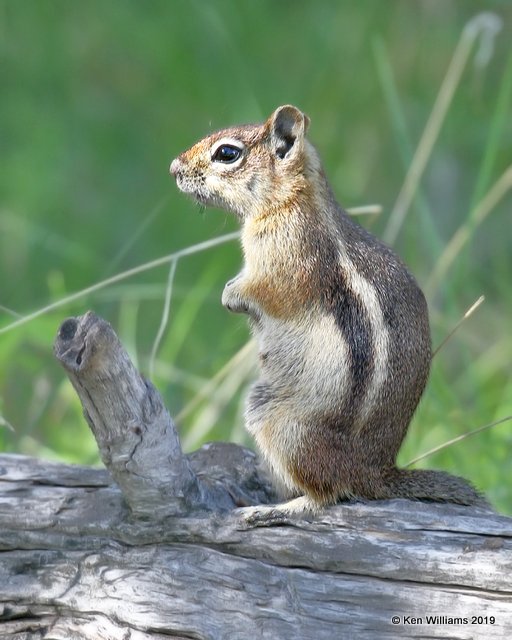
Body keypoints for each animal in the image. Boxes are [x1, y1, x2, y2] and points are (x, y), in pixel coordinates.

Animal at [170, 104, 486, 524]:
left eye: (227, 153)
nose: (174, 167)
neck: (290, 201)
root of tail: (375, 471)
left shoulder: (287, 260)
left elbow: (266, 291)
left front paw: (231, 295)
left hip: (284, 427)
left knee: (329, 494)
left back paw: (275, 509)